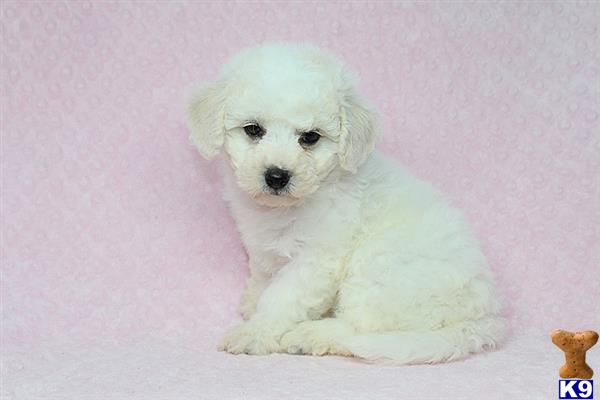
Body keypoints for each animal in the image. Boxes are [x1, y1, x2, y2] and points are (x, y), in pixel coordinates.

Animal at [185, 43, 504, 362]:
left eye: (310, 137)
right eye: (253, 130)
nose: (277, 176)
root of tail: (482, 319)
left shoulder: (317, 258)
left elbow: (282, 299)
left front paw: (256, 331)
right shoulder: (262, 246)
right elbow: (263, 275)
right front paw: (252, 301)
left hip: (377, 269)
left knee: (357, 327)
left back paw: (309, 335)